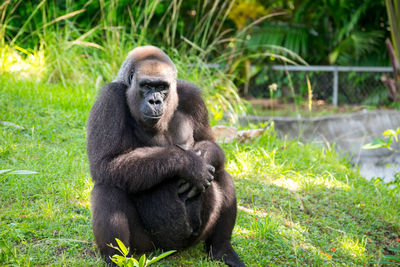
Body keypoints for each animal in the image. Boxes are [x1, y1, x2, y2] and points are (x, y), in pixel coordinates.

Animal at [86, 46, 244, 267]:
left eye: (162, 86)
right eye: (146, 86)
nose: (155, 100)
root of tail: (172, 251)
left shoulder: (192, 95)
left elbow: (210, 143)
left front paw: (204, 156)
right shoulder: (109, 99)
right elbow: (105, 164)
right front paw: (190, 164)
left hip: (193, 239)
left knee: (221, 173)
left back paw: (222, 249)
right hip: (146, 247)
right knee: (108, 187)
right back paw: (115, 259)